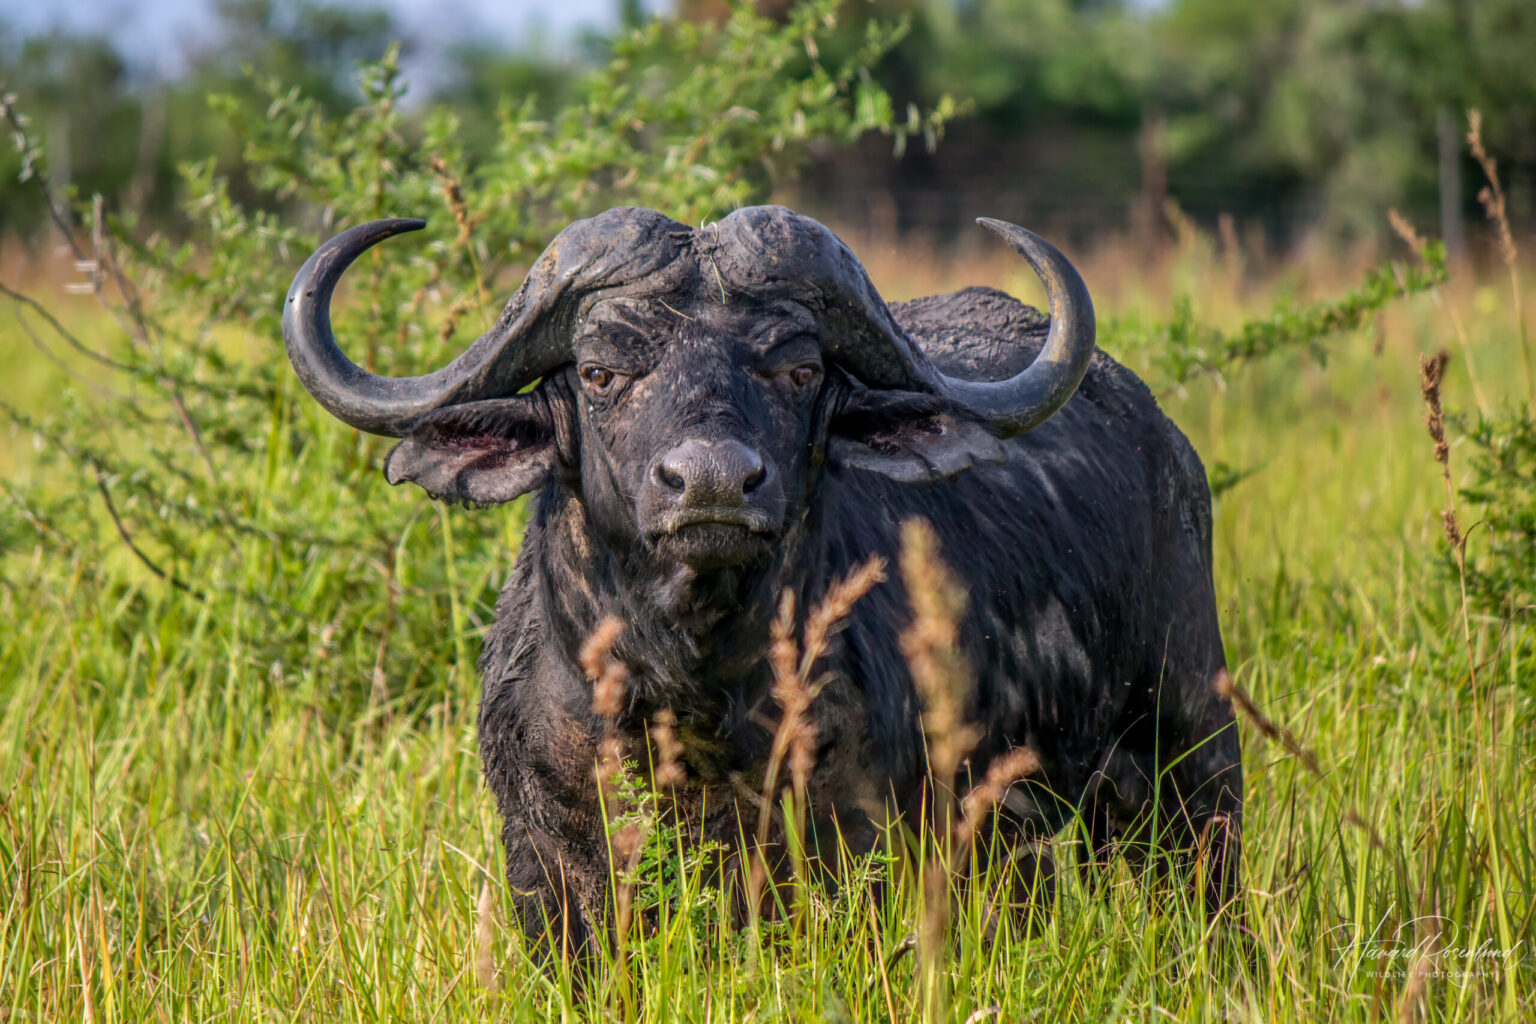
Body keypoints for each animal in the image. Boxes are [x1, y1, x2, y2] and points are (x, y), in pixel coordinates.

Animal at [282, 205, 1242, 953]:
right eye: (599, 372)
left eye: (801, 370)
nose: (710, 482)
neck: (690, 700)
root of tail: (1163, 442)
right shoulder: (552, 872)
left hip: (1195, 760)